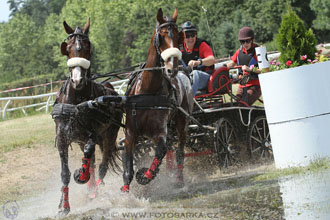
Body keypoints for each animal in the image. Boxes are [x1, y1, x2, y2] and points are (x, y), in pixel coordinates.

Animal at [52, 18, 122, 215]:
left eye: (87, 46)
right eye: (67, 48)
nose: (77, 80)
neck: (77, 103)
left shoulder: (93, 134)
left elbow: (89, 153)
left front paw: (81, 176)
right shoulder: (63, 137)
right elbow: (65, 173)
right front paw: (64, 206)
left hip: (109, 135)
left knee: (102, 165)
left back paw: (94, 191)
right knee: (91, 163)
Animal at [121, 8, 193, 192]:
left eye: (178, 37)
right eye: (161, 36)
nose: (172, 69)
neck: (147, 92)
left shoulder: (160, 133)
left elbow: (160, 152)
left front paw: (145, 175)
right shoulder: (131, 133)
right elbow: (128, 166)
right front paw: (125, 191)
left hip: (182, 121)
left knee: (180, 152)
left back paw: (179, 180)